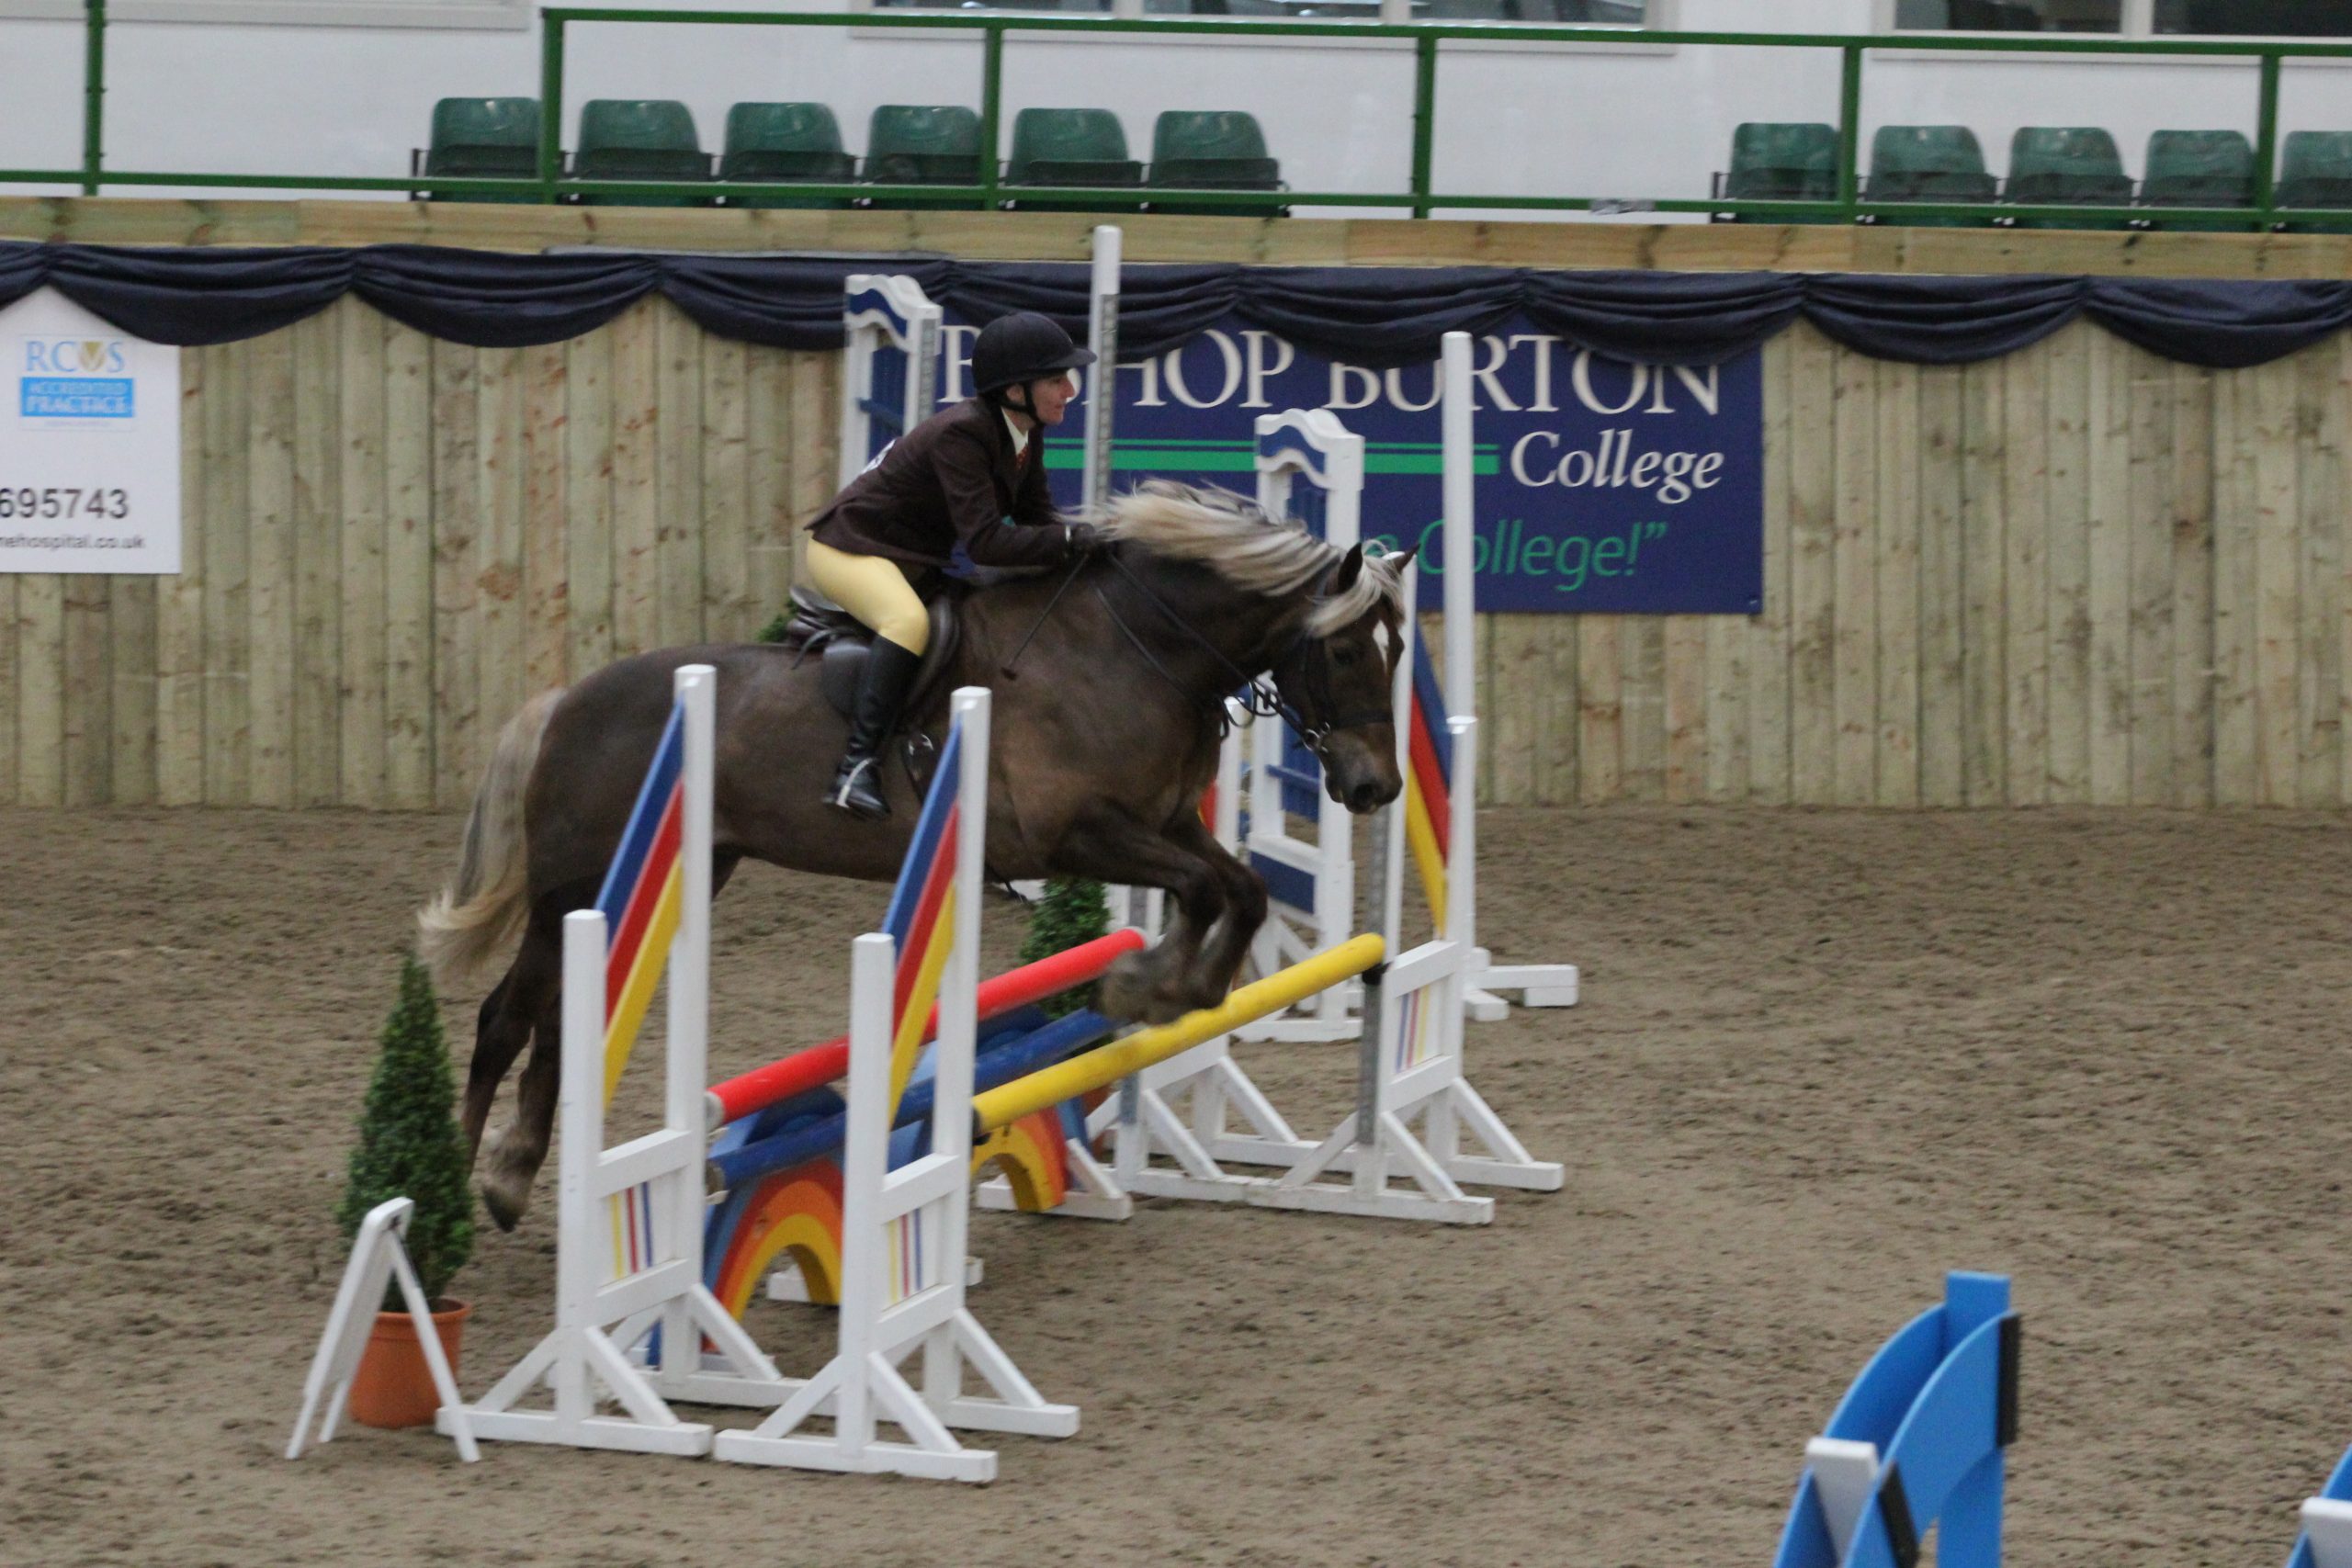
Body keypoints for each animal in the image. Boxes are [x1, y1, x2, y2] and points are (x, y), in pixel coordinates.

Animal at [415, 481, 1416, 1230]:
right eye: (1339, 650)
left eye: (1399, 649)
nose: (1376, 788)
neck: (1135, 653)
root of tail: (565, 702)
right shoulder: (1080, 833)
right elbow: (1209, 889)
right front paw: (1148, 988)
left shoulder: (1164, 823)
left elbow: (1237, 889)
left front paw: (1167, 988)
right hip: (576, 889)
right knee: (512, 1017)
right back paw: (467, 1191)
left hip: (669, 874)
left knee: (546, 1016)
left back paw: (491, 1178)